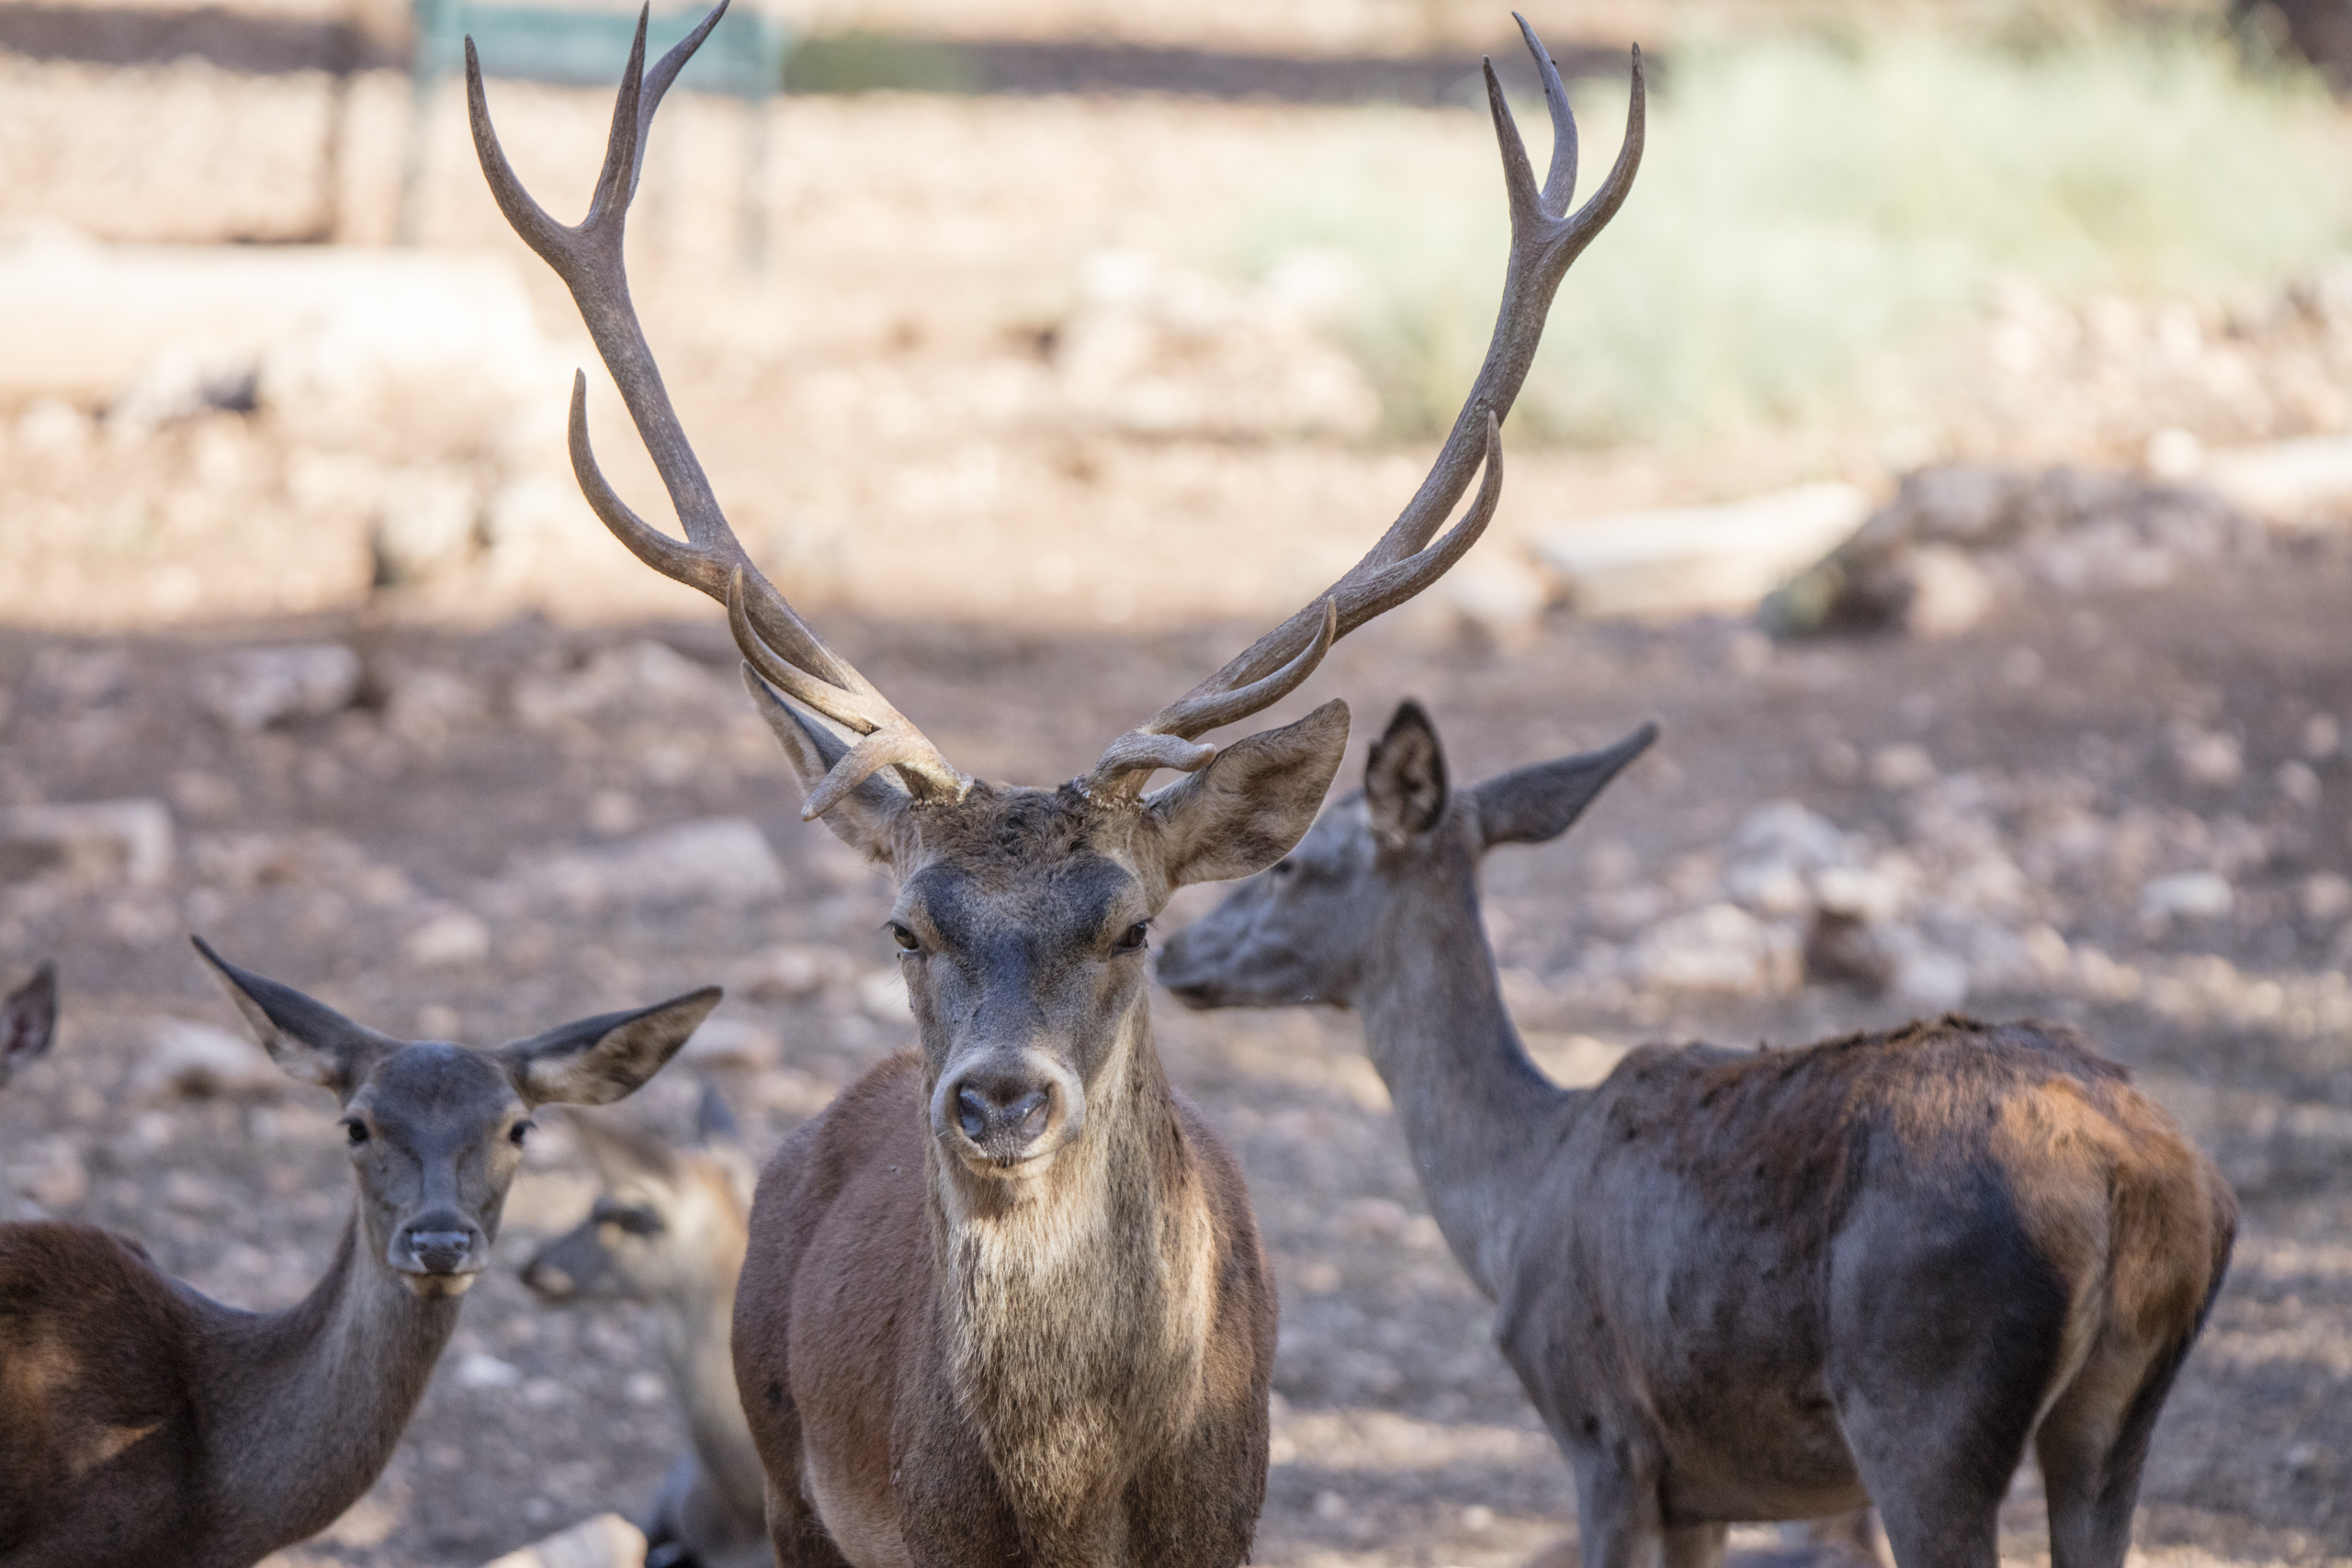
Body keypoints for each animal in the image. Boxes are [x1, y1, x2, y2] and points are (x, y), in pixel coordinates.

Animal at [1157, 705, 2239, 1568]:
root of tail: (2143, 1181)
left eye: (1291, 864)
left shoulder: (1606, 1434)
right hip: (2119, 1413)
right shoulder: (1702, 1493)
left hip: (1924, 1405)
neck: (1515, 1200)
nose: (1174, 952)